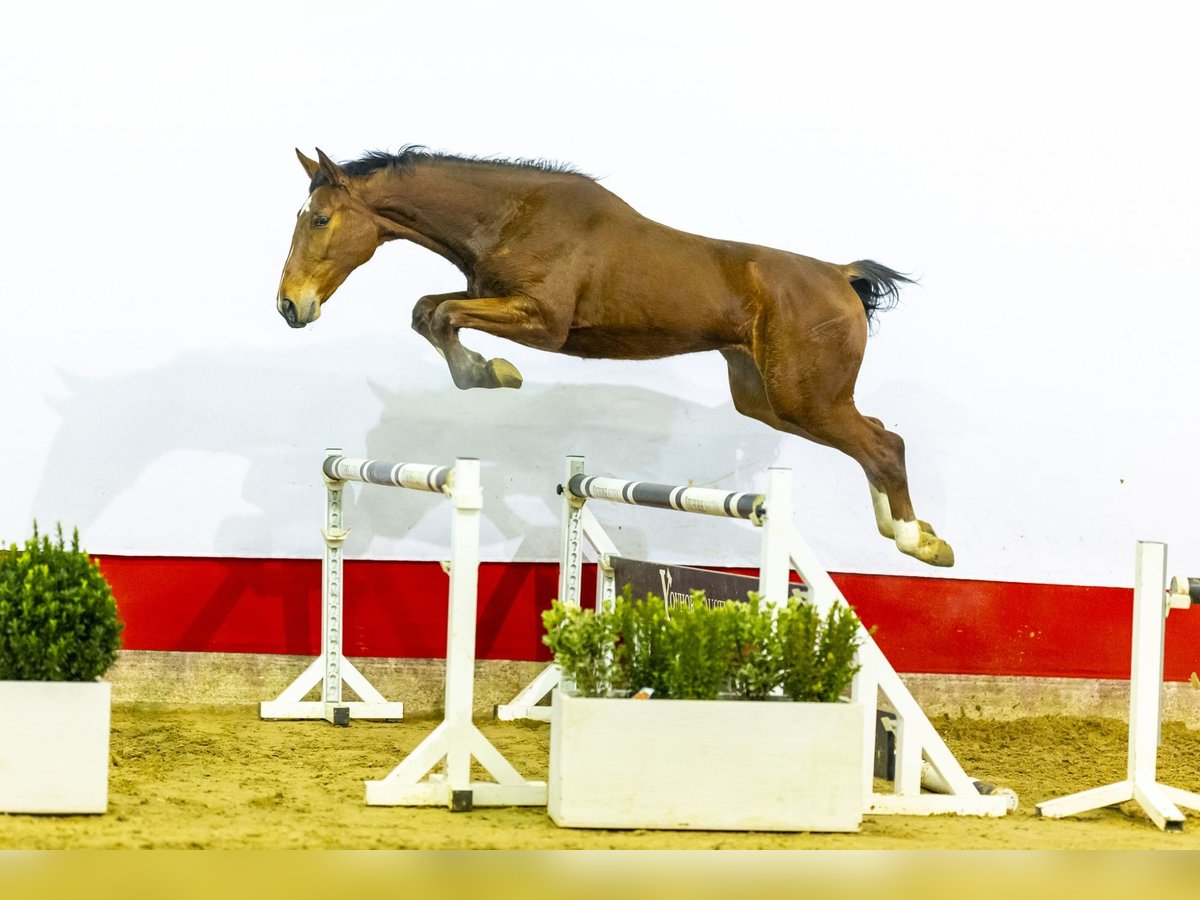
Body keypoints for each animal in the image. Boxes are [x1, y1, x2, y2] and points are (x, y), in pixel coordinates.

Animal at [276, 150, 950, 566]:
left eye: (321, 219)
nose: (289, 306)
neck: (508, 217)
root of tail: (840, 275)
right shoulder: (488, 297)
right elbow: (427, 310)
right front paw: (487, 371)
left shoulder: (543, 323)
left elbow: (440, 317)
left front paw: (491, 373)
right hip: (768, 400)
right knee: (874, 435)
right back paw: (906, 530)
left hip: (804, 398)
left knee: (882, 444)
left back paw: (916, 541)